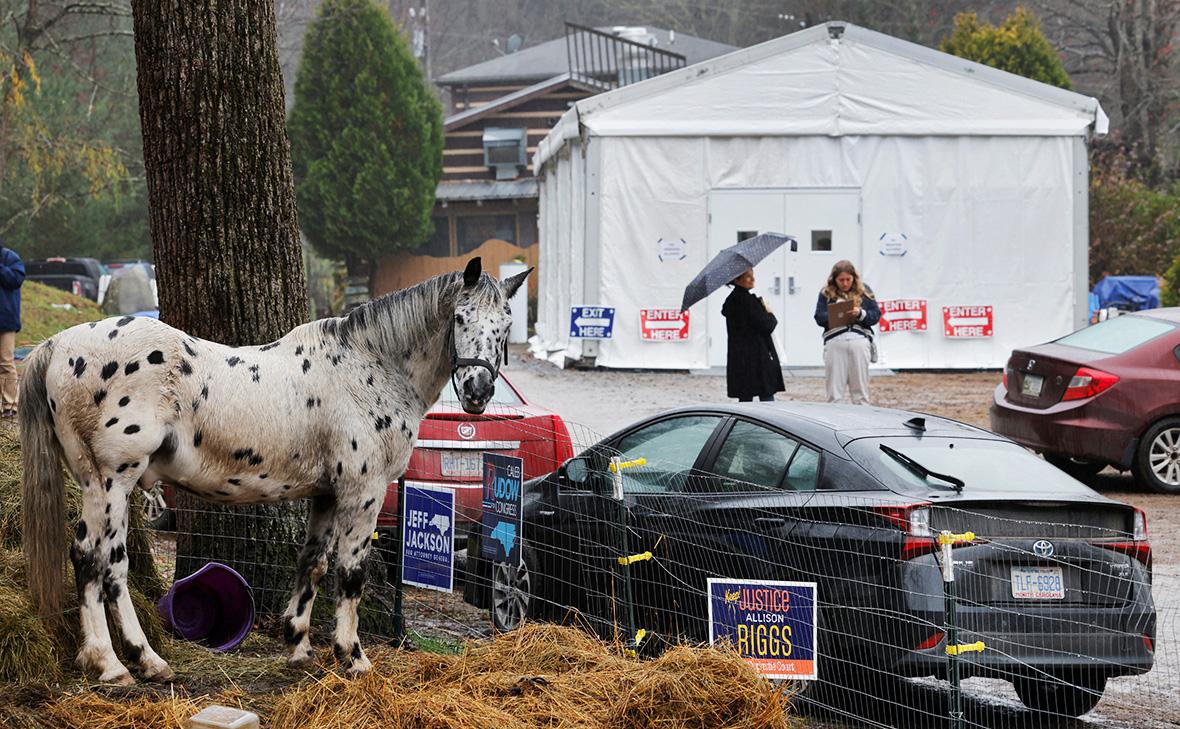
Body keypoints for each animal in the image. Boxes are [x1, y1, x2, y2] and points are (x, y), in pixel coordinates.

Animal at [20, 257, 531, 679]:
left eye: (506, 323)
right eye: (461, 318)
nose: (479, 391)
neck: (370, 367)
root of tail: (58, 345)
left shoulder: (326, 495)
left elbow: (313, 565)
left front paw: (299, 645)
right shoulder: (362, 492)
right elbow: (351, 574)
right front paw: (353, 657)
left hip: (105, 485)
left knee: (104, 564)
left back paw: (136, 661)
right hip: (110, 481)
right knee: (95, 560)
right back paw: (116, 664)